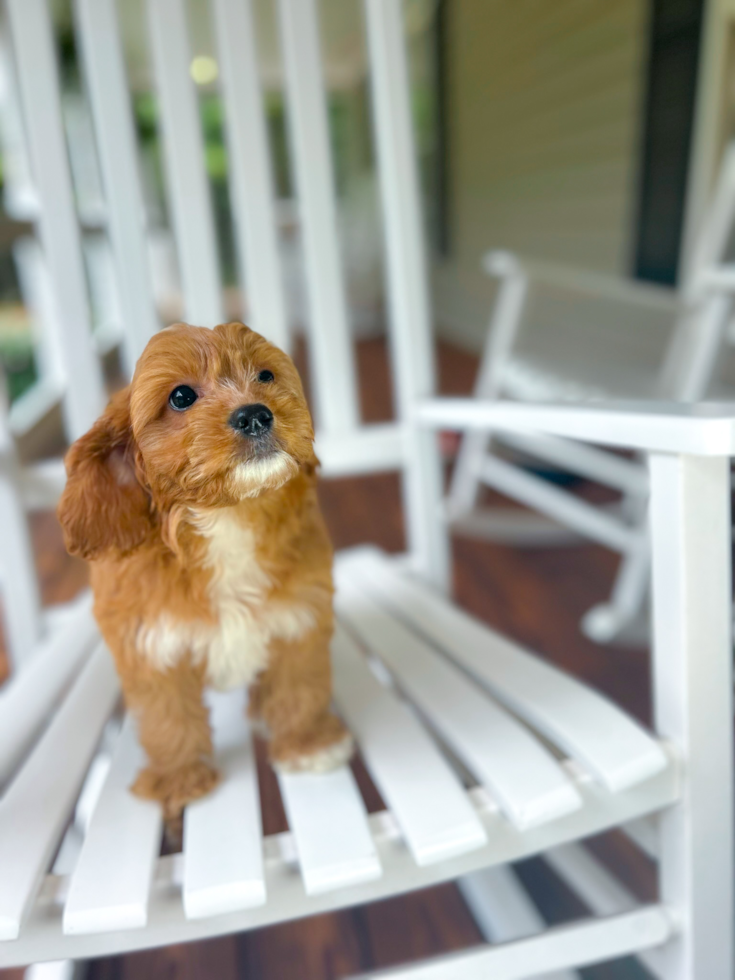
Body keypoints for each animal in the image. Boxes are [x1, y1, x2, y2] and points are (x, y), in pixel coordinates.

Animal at [59, 322, 352, 820]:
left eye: (266, 375)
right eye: (181, 397)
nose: (255, 414)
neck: (228, 518)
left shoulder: (298, 619)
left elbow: (299, 684)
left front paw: (306, 744)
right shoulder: (152, 645)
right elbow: (168, 717)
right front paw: (180, 778)